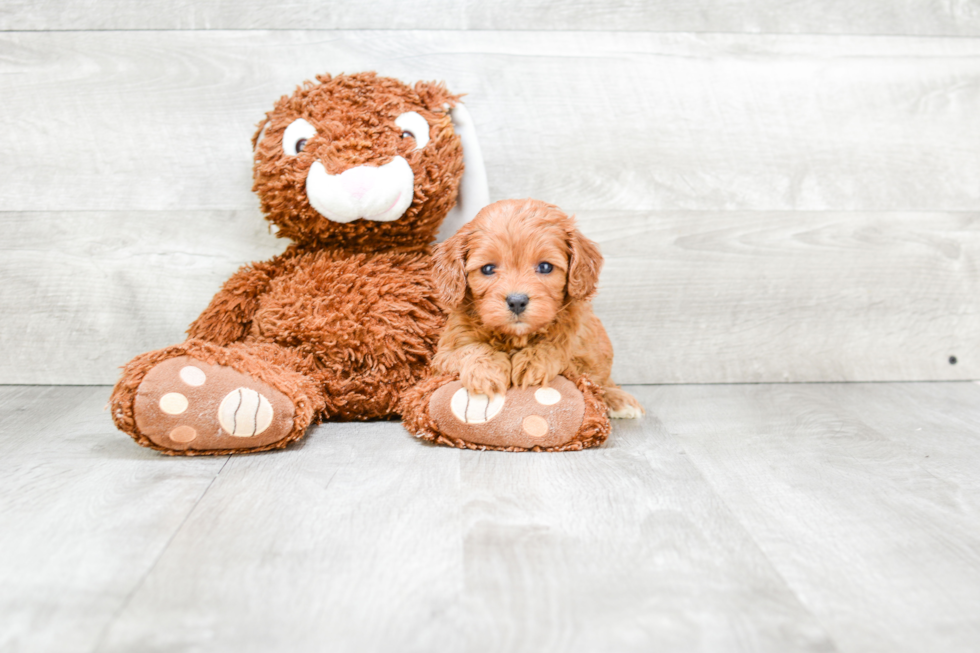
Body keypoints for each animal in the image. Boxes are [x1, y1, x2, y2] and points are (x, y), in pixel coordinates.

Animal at [432, 196, 648, 418]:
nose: (517, 301)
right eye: (488, 268)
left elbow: (559, 346)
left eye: (545, 267)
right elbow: (470, 348)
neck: (516, 336)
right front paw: (486, 372)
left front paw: (532, 362)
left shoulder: (580, 343)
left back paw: (618, 399)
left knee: (602, 380)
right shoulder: (444, 355)